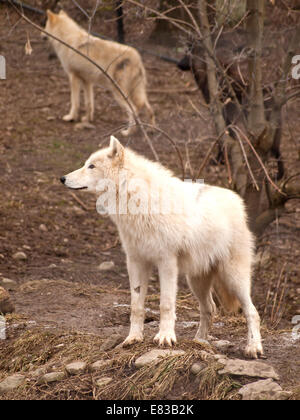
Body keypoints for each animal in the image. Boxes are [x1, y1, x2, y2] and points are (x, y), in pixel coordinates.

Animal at [60, 137, 262, 358]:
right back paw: (199, 341)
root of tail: (237, 201)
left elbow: (165, 304)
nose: (62, 178)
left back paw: (253, 347)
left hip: (233, 277)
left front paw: (165, 337)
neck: (137, 200)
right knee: (210, 308)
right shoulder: (135, 262)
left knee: (252, 311)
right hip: (196, 281)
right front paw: (133, 338)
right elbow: (136, 306)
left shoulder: (167, 263)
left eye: (91, 166)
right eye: (86, 164)